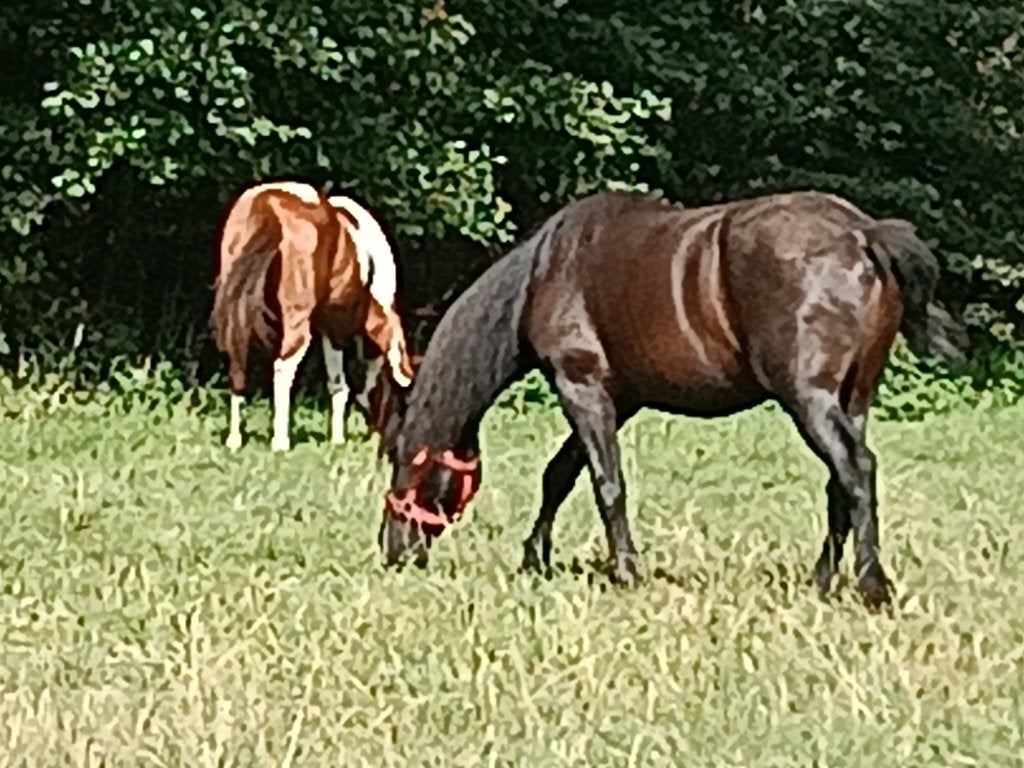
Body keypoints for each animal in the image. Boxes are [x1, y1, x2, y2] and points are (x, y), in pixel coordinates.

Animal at [211, 180, 417, 451]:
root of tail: (267, 203)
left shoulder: (330, 329)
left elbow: (337, 384)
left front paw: (337, 439)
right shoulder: (335, 328)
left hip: (238, 311)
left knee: (237, 366)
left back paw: (234, 440)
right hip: (297, 321)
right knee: (283, 367)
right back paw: (280, 442)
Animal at [375, 189, 968, 612]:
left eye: (404, 459)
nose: (394, 550)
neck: (545, 272)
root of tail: (863, 234)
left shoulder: (582, 386)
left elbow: (605, 484)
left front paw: (625, 571)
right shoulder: (617, 398)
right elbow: (560, 475)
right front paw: (535, 559)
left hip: (810, 399)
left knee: (855, 471)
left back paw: (872, 586)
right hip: (853, 398)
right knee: (841, 483)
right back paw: (823, 580)